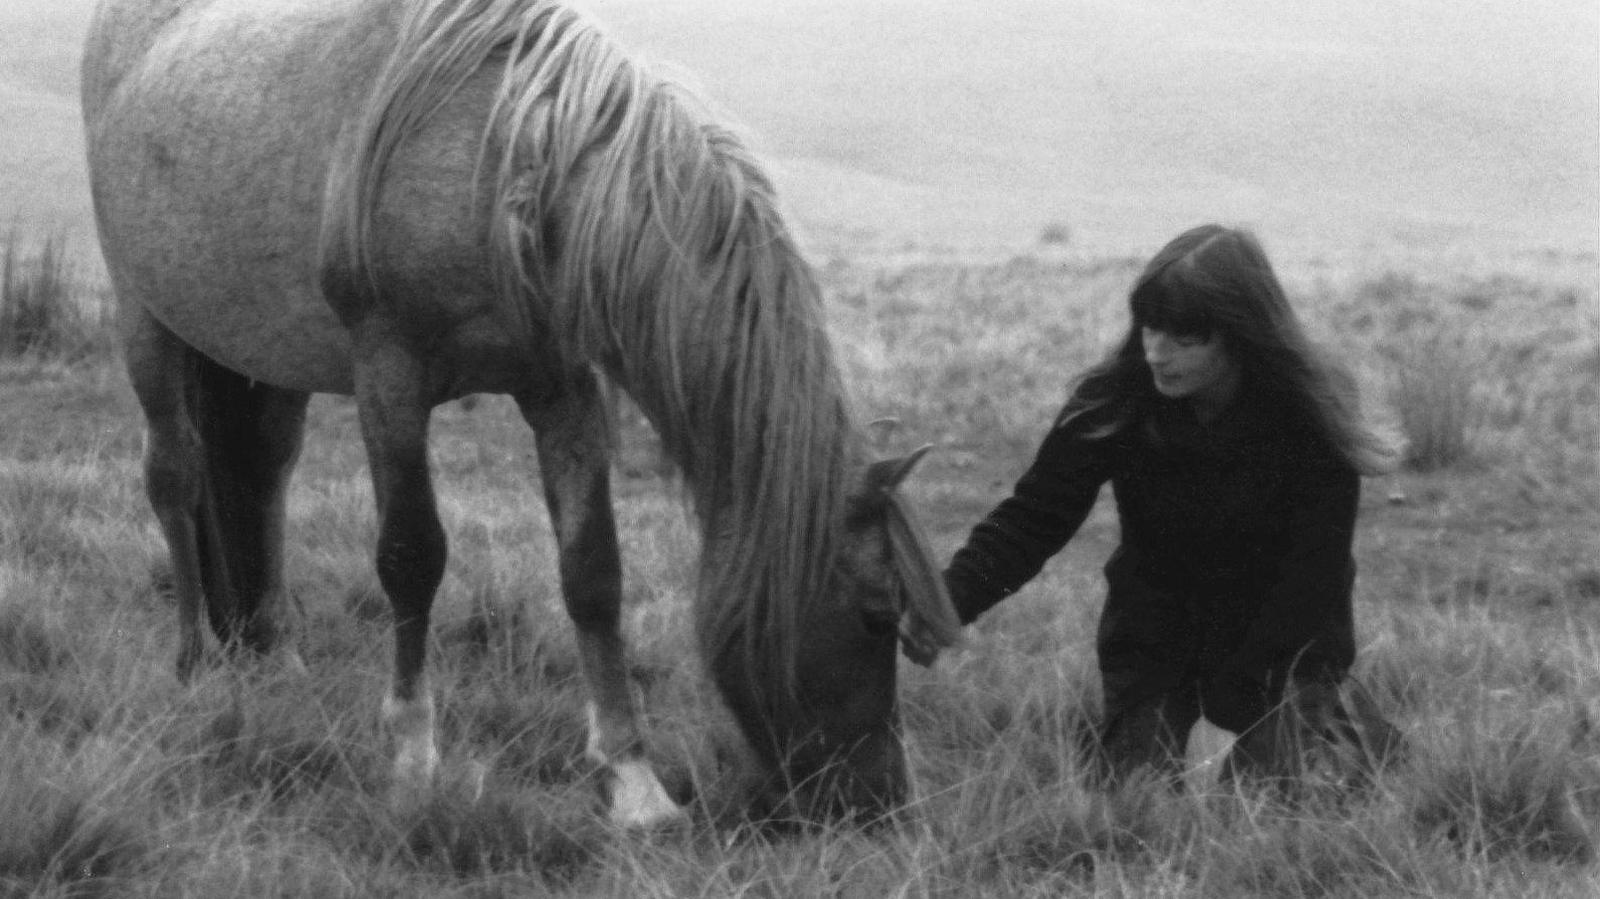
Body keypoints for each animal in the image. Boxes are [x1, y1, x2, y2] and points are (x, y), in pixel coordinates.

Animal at [81, 0, 960, 825]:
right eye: (876, 615)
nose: (882, 802)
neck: (505, 163)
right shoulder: (389, 378)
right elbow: (411, 557)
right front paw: (413, 761)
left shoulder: (560, 388)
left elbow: (593, 570)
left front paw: (633, 783)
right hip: (145, 318)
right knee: (176, 477)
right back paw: (196, 662)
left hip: (261, 359)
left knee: (263, 477)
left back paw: (277, 659)